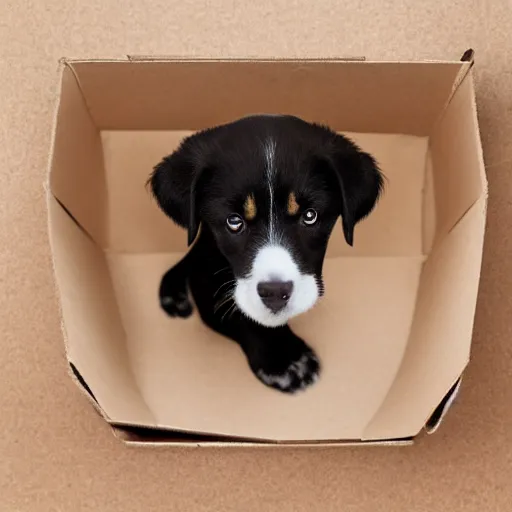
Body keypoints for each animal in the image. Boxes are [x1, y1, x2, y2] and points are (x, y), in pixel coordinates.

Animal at [148, 114, 384, 394]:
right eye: (234, 221)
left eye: (310, 216)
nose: (275, 293)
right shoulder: (207, 280)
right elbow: (240, 314)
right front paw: (286, 361)